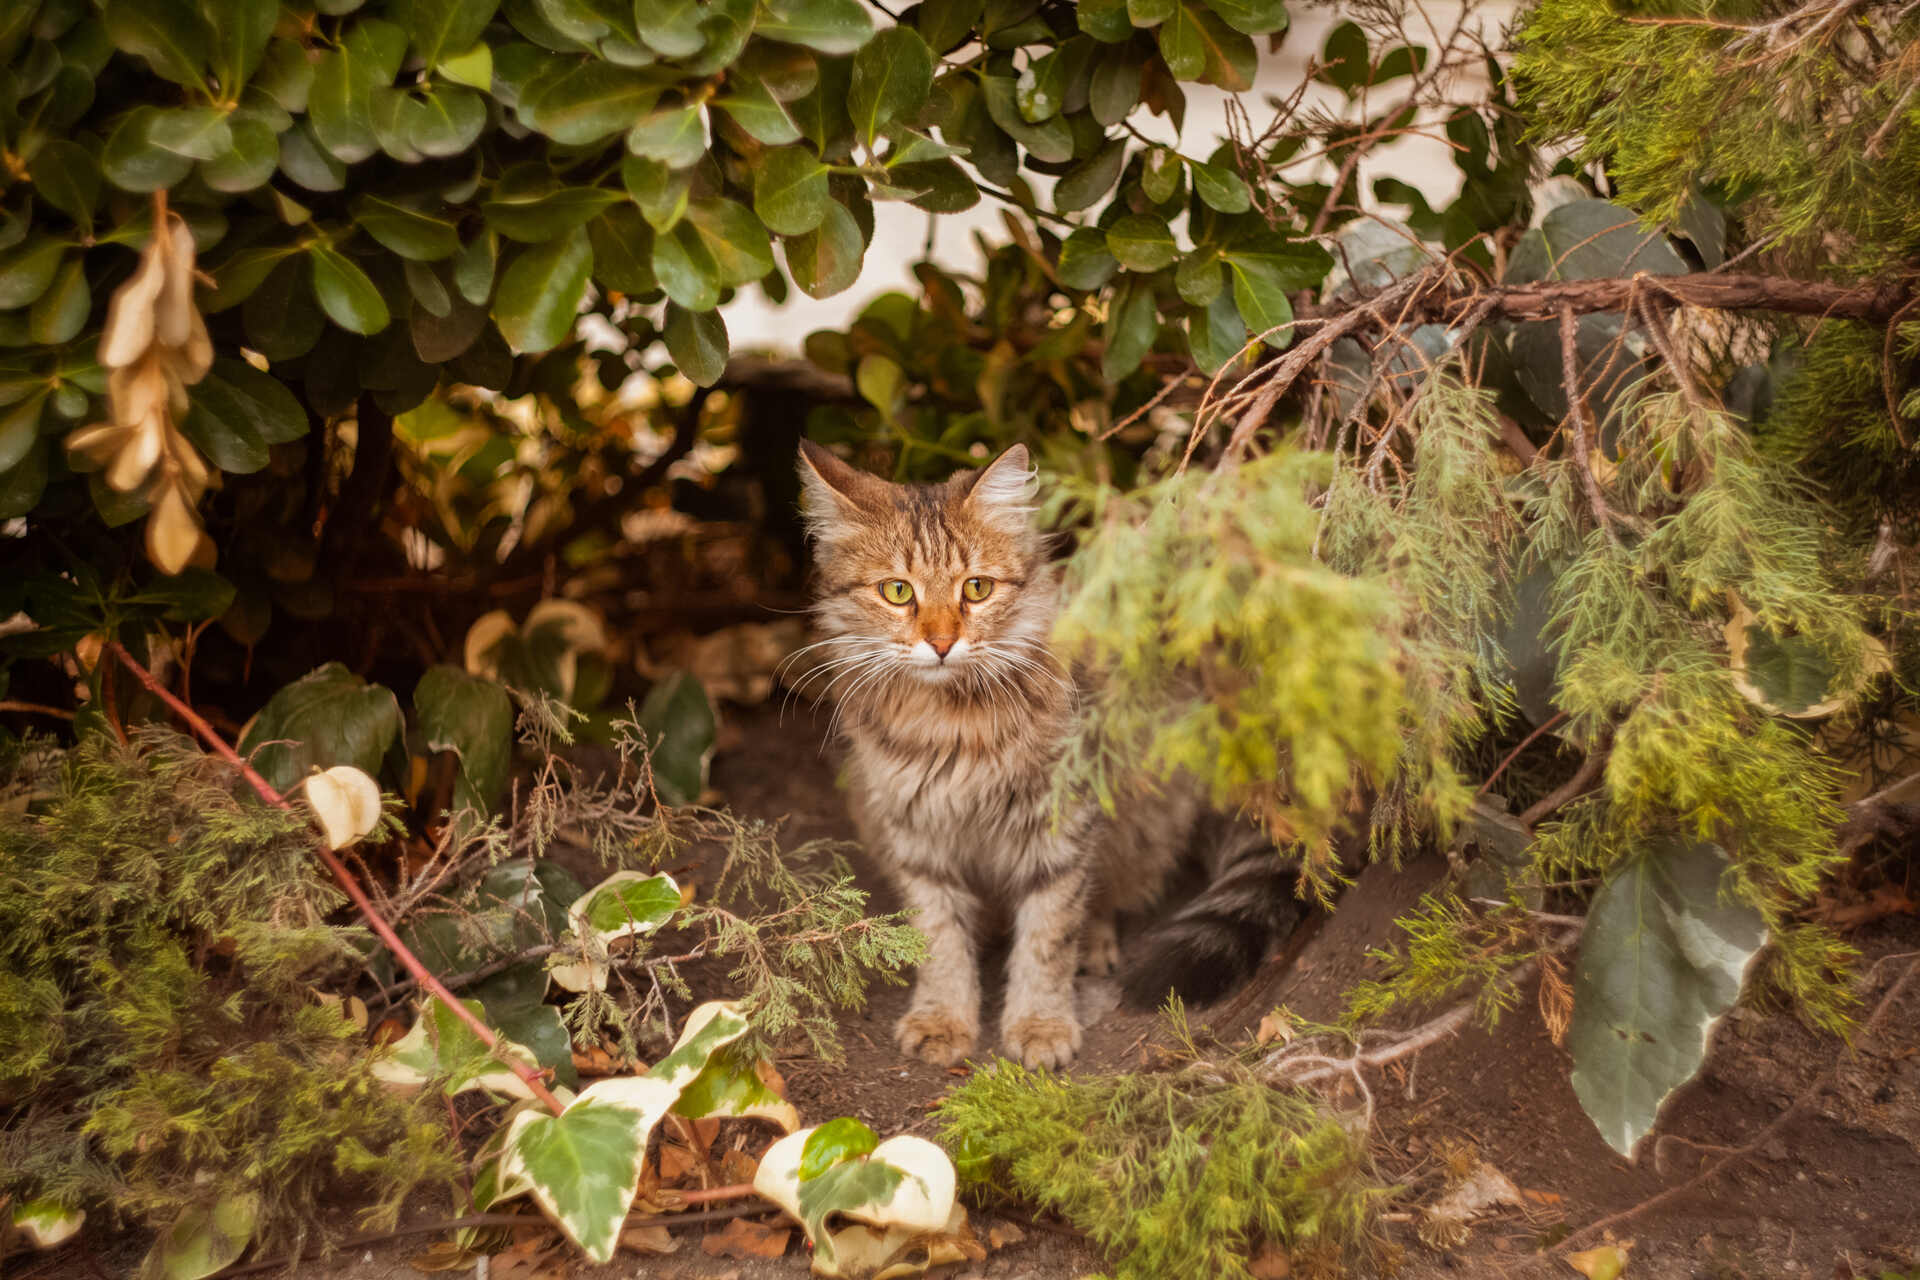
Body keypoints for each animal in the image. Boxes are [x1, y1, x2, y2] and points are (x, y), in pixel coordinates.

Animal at [794, 441, 1305, 1074]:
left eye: (977, 589)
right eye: (897, 592)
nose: (941, 643)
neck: (952, 725)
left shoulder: (1059, 827)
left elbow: (1047, 937)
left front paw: (1040, 1024)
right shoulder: (915, 836)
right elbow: (939, 938)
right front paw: (944, 1018)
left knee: (1106, 895)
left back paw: (1096, 941)